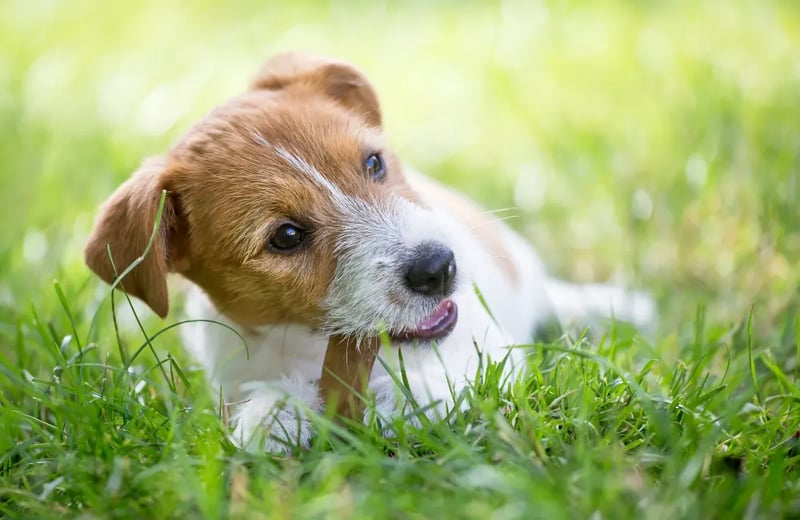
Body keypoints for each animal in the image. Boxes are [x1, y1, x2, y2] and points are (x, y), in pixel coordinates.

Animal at [84, 51, 652, 450]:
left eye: (374, 163)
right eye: (286, 236)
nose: (438, 268)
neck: (311, 344)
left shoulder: (487, 346)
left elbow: (447, 380)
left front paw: (393, 395)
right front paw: (274, 413)